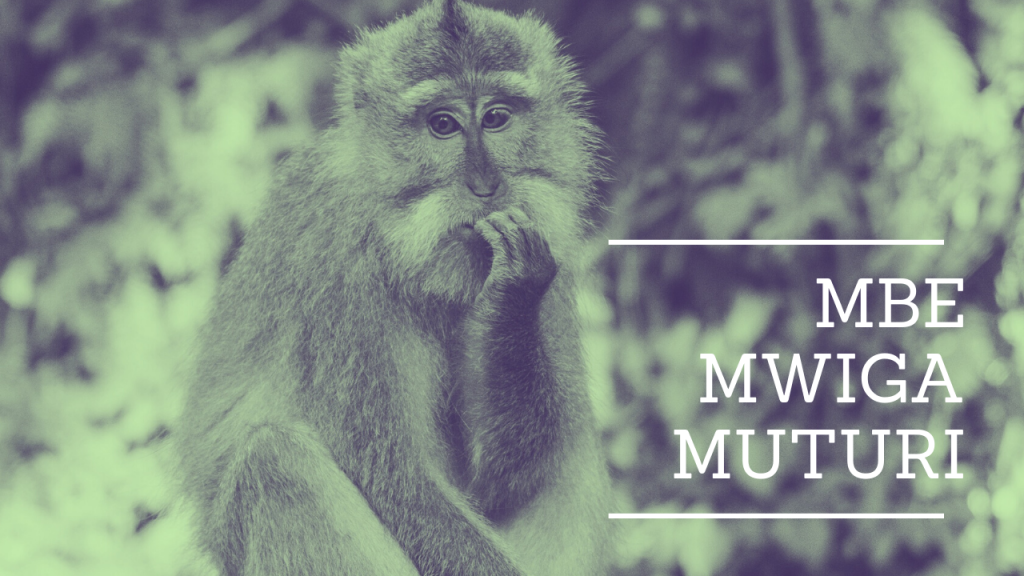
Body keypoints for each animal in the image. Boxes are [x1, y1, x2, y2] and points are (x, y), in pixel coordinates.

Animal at [175, 1, 613, 574]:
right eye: (442, 124)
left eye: (496, 117)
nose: (485, 186)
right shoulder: (341, 274)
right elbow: (399, 481)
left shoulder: (549, 240)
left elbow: (498, 483)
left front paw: (512, 295)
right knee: (273, 459)